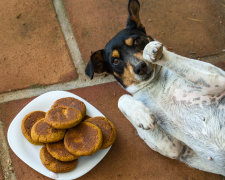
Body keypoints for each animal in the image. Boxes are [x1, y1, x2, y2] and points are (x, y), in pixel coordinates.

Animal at [85, 0, 225, 176]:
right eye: (115, 61)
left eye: (137, 42)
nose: (140, 67)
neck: (155, 87)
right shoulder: (173, 148)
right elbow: (122, 99)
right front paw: (142, 115)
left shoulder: (218, 79)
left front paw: (153, 51)